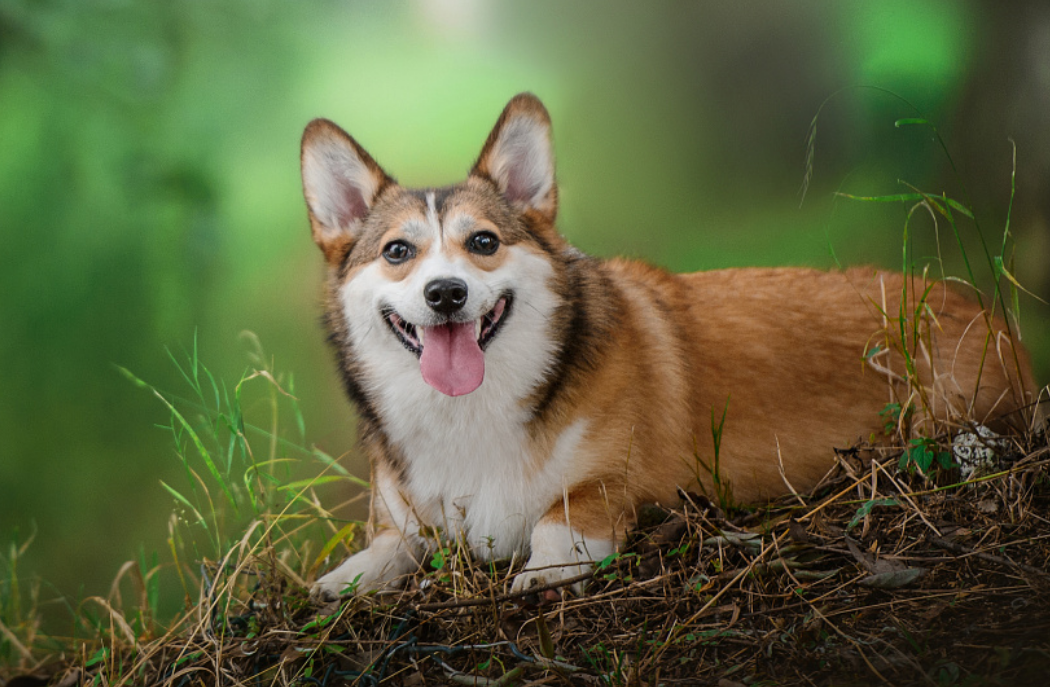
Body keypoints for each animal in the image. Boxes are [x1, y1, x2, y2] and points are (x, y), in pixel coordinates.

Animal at [298, 92, 1033, 605]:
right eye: (398, 251)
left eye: (483, 241)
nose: (446, 293)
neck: (468, 413)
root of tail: (984, 310)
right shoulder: (404, 518)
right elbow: (389, 545)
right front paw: (344, 579)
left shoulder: (615, 489)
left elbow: (556, 521)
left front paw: (540, 571)